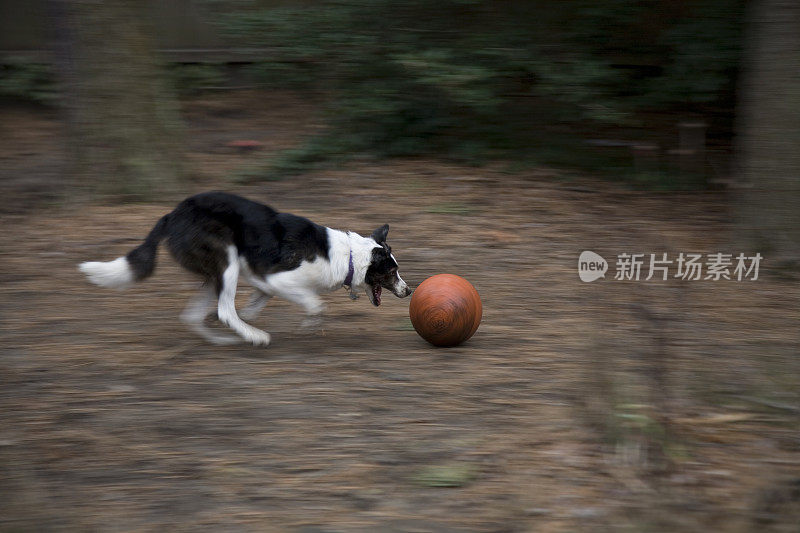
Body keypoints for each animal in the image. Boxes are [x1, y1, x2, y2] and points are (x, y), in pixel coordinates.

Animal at [78, 191, 412, 344]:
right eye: (392, 272)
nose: (409, 291)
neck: (348, 257)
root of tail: (172, 214)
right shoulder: (279, 281)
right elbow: (316, 304)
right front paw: (308, 326)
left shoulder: (265, 286)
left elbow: (250, 307)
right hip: (226, 263)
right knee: (225, 309)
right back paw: (254, 336)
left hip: (217, 274)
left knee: (195, 315)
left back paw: (226, 339)